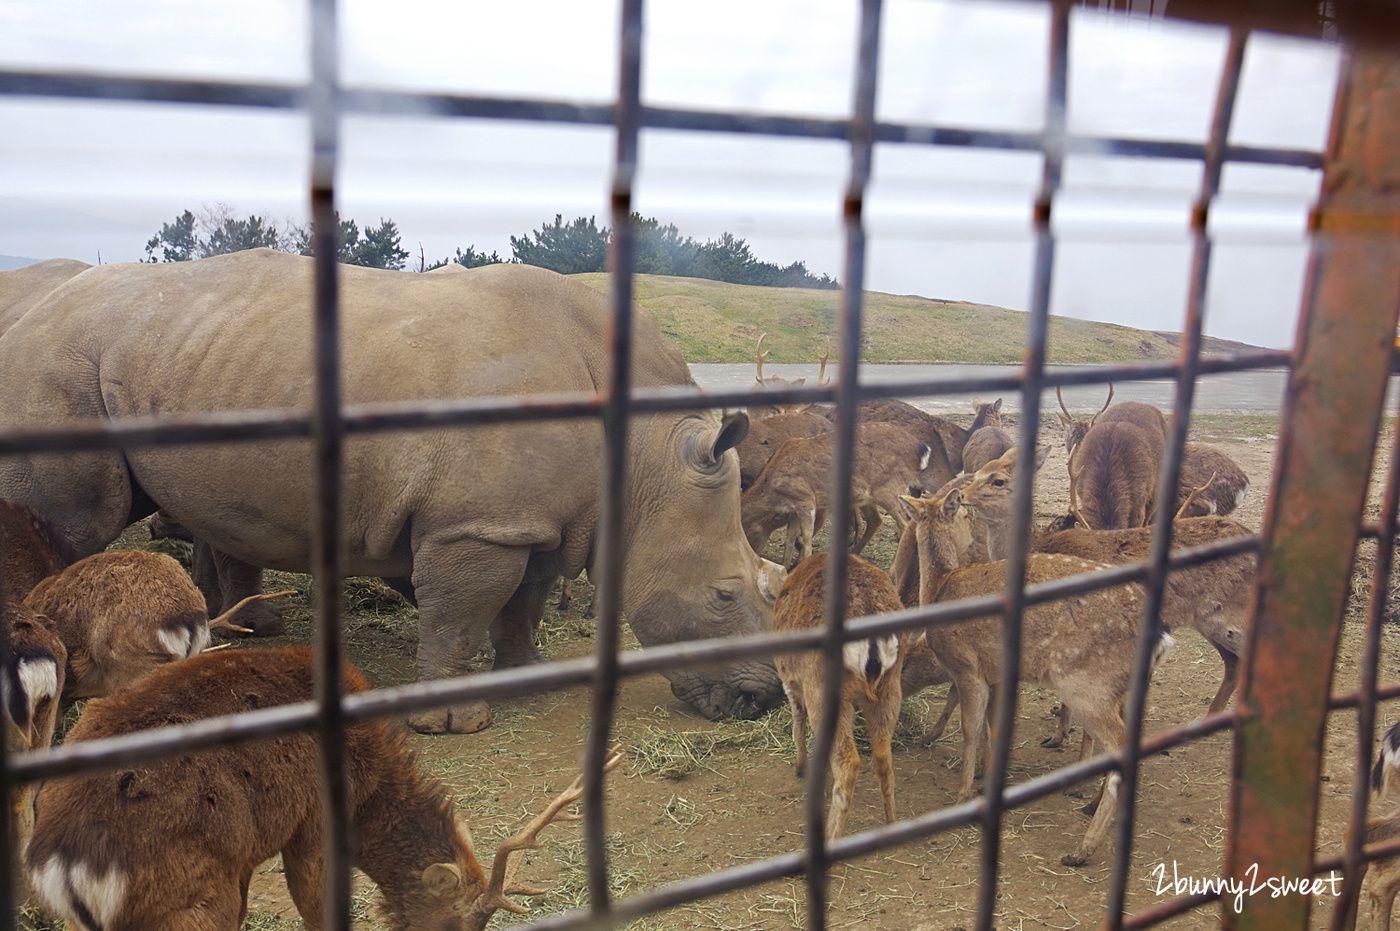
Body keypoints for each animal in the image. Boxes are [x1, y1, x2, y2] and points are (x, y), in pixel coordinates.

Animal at [24, 646, 618, 929]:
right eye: (462, 923)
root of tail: (64, 859)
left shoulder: (248, 858)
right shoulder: (312, 822)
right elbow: (318, 909)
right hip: (190, 898)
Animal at [744, 422, 940, 565]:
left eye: (749, 533)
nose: (752, 556)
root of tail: (923, 451)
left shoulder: (806, 499)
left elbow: (806, 536)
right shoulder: (793, 509)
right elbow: (790, 536)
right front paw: (785, 566)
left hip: (888, 488)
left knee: (905, 525)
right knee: (879, 519)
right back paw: (855, 554)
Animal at [772, 548, 912, 840]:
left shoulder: (789, 678)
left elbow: (797, 719)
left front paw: (800, 767)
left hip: (824, 689)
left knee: (849, 762)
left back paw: (831, 835)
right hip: (890, 687)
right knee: (883, 755)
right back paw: (892, 822)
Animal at [901, 487, 1164, 862]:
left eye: (965, 515)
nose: (970, 527)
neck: (939, 588)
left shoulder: (967, 664)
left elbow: (969, 729)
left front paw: (963, 794)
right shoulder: (994, 672)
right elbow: (991, 727)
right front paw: (986, 779)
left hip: (1087, 685)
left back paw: (1082, 848)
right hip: (1122, 687)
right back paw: (1091, 808)